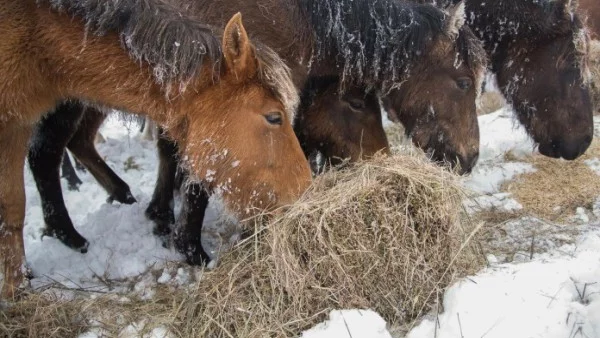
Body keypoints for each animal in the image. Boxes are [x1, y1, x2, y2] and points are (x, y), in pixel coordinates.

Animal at [0, 1, 310, 298]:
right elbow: (12, 205)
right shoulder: (12, 123)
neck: (37, 34)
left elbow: (13, 208)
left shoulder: (18, 123)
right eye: (274, 117)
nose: (304, 193)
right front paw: (17, 289)